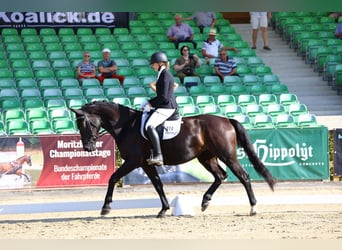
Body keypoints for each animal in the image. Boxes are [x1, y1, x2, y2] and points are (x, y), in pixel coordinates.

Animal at [71, 101, 276, 217]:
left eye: (85, 124)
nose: (87, 148)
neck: (126, 125)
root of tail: (226, 120)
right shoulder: (145, 163)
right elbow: (158, 184)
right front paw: (164, 209)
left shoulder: (133, 161)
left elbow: (113, 178)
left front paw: (105, 207)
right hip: (206, 157)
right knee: (220, 176)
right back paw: (205, 201)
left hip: (227, 155)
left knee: (243, 176)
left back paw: (253, 208)